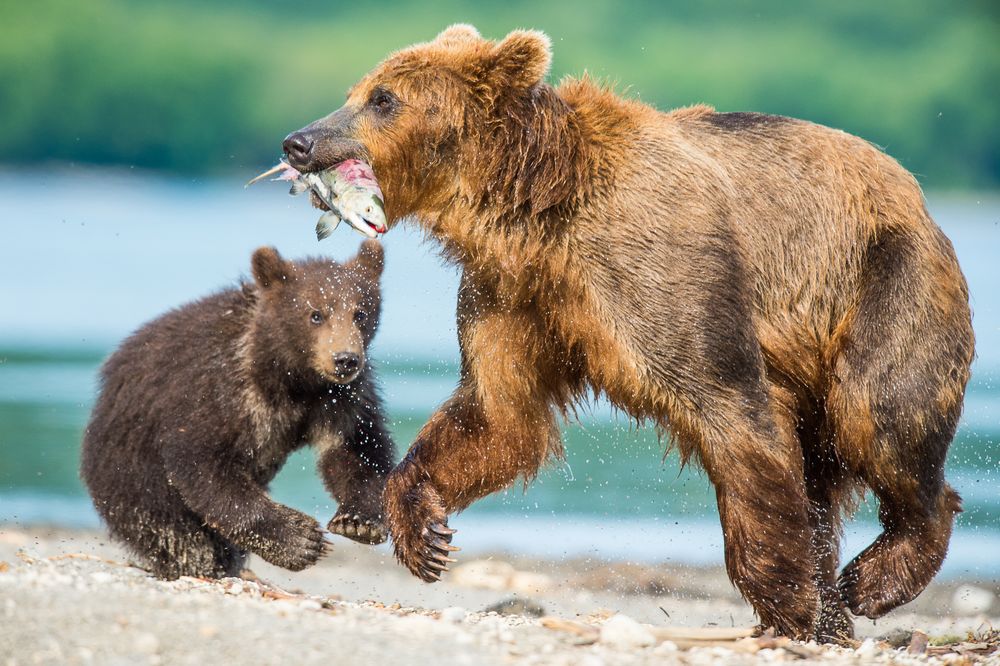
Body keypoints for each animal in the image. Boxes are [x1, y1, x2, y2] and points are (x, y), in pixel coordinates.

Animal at [280, 26, 968, 640]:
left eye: (383, 98)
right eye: (356, 91)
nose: (298, 141)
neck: (533, 212)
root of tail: (917, 196)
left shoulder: (658, 269)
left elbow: (732, 410)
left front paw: (789, 604)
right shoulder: (511, 296)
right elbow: (498, 414)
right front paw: (424, 535)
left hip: (885, 283)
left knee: (879, 417)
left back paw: (871, 580)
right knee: (823, 474)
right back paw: (837, 603)